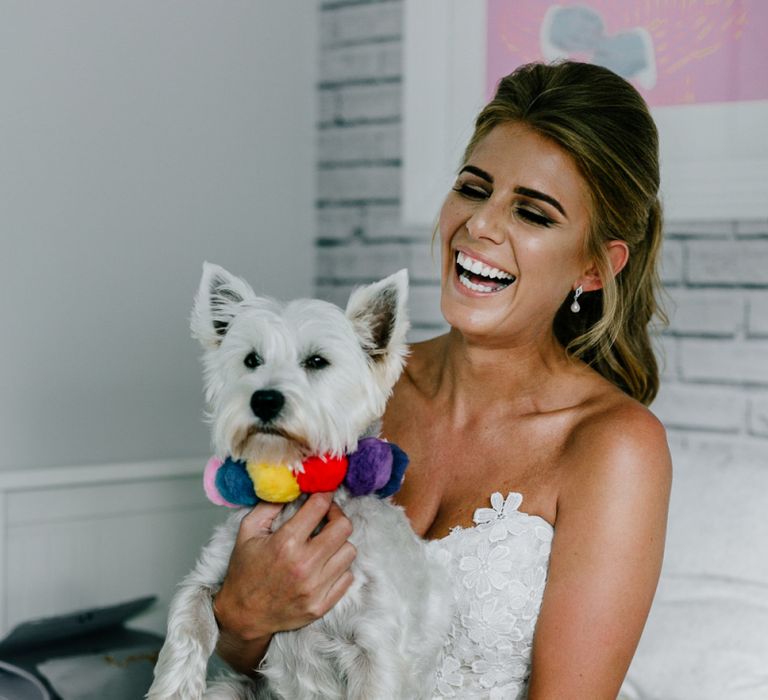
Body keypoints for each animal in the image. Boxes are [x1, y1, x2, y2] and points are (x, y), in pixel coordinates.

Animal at [146, 264, 450, 700]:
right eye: (251, 359)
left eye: (317, 361)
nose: (264, 399)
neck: (296, 494)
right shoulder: (215, 577)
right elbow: (187, 621)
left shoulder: (376, 645)